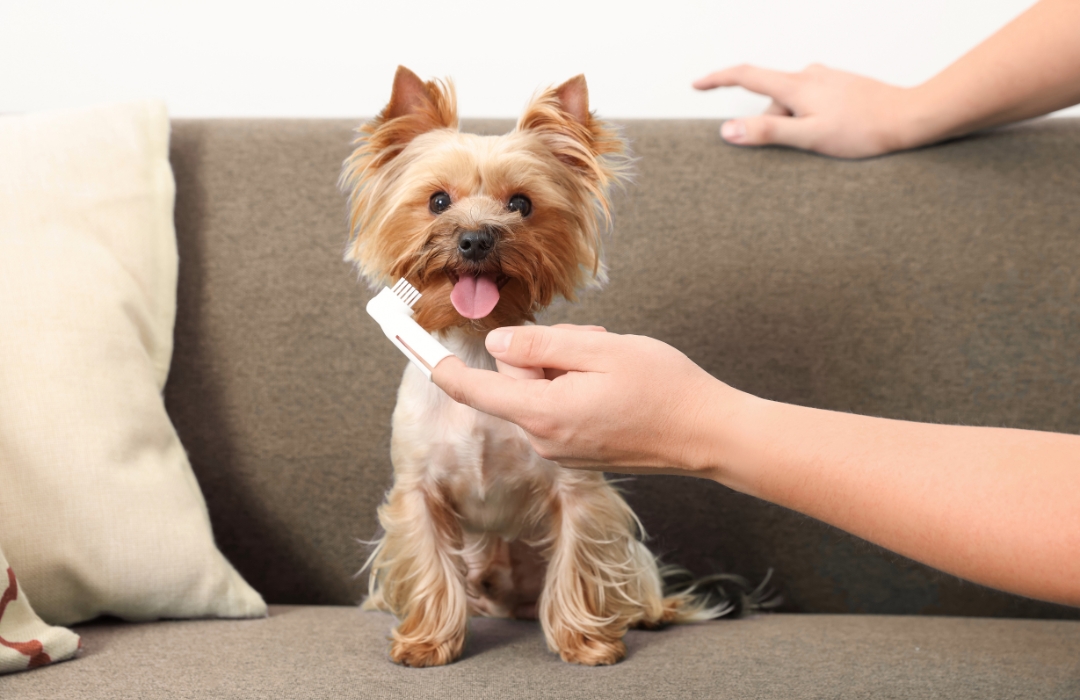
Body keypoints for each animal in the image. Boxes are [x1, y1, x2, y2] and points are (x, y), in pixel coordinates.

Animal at [343, 65, 717, 665]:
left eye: (520, 204)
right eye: (438, 201)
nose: (476, 239)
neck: (474, 345)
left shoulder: (577, 489)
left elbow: (578, 562)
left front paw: (585, 641)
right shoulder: (418, 491)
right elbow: (429, 565)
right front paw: (427, 641)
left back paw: (647, 613)